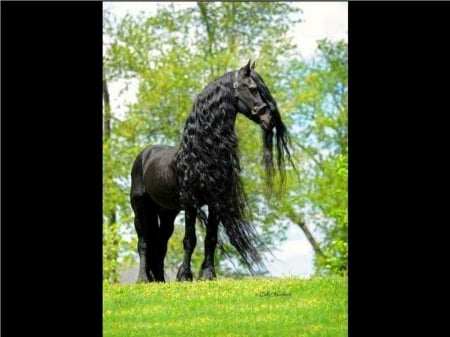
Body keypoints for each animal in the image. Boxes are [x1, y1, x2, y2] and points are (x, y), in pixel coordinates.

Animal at [130, 59, 292, 280]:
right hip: (140, 209)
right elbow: (189, 240)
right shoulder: (190, 203)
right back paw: (143, 279)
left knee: (160, 245)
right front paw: (184, 275)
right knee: (144, 243)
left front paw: (207, 274)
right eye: (252, 88)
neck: (202, 151)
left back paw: (161, 281)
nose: (270, 119)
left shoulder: (216, 203)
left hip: (166, 212)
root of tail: (144, 155)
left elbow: (211, 238)